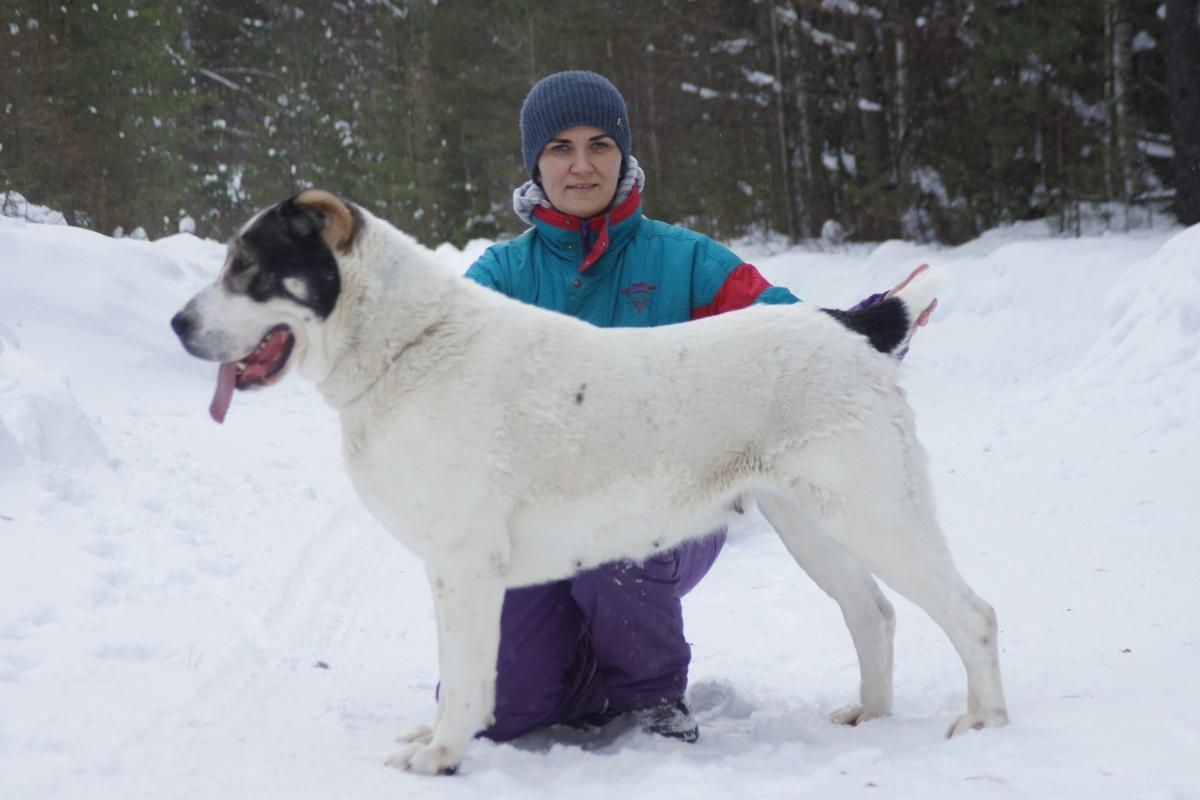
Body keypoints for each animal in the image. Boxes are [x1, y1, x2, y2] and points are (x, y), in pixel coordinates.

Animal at [169, 189, 1008, 777]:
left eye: (246, 269)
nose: (177, 325)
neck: (407, 345)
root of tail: (852, 323)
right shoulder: (445, 568)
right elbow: (454, 664)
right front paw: (436, 736)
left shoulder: (465, 564)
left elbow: (466, 673)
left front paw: (443, 755)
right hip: (812, 524)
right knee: (874, 613)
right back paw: (870, 714)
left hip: (874, 514)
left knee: (972, 614)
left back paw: (985, 724)